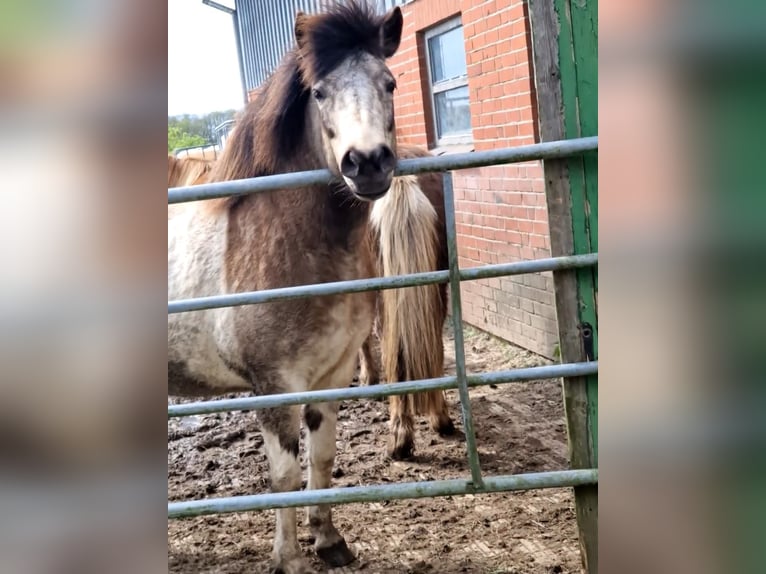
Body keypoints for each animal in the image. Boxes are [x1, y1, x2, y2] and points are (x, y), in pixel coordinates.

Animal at [166, 2, 408, 572]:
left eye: (388, 82)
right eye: (319, 92)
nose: (368, 162)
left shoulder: (332, 375)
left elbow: (321, 459)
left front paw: (330, 541)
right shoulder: (275, 386)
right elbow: (284, 476)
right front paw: (290, 559)